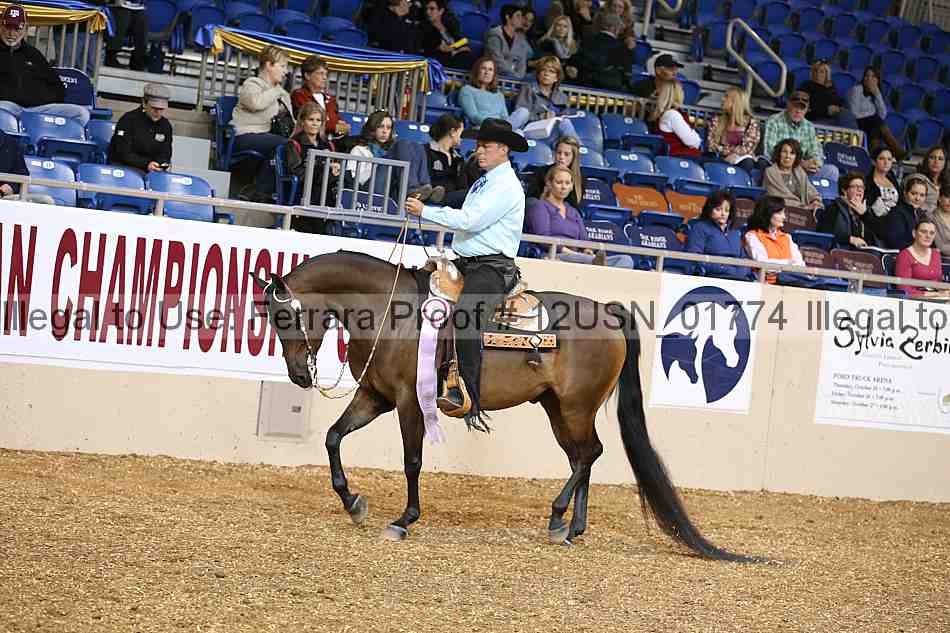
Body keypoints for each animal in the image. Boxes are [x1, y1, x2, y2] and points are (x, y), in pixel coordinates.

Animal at [253, 250, 756, 561]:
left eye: (284, 315)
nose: (299, 375)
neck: (392, 312)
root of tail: (610, 314)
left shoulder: (410, 401)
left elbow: (412, 461)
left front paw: (404, 519)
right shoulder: (374, 396)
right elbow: (333, 437)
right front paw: (352, 501)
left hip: (574, 406)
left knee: (589, 453)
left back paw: (558, 517)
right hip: (558, 408)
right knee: (583, 455)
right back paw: (572, 528)